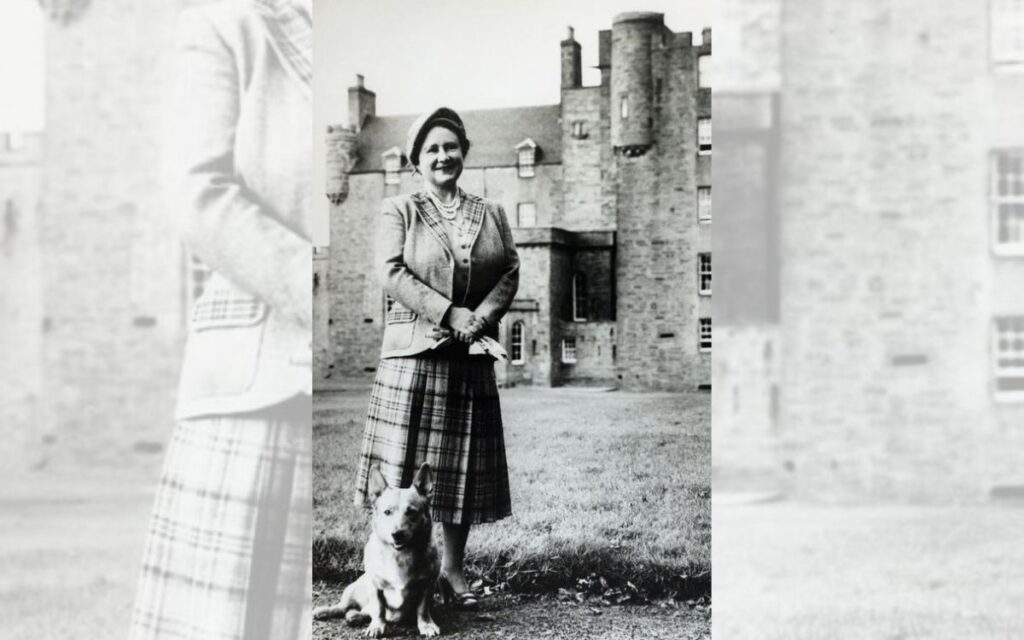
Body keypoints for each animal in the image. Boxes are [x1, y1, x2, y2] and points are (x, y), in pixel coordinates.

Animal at [311, 460, 440, 634]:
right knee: (344, 607)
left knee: (359, 611)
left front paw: (426, 625)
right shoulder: (375, 586)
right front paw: (377, 626)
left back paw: (355, 616)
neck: (400, 554)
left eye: (412, 512)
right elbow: (379, 608)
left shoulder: (427, 586)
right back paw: (325, 611)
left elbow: (423, 609)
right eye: (387, 512)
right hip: (353, 589)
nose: (397, 534)